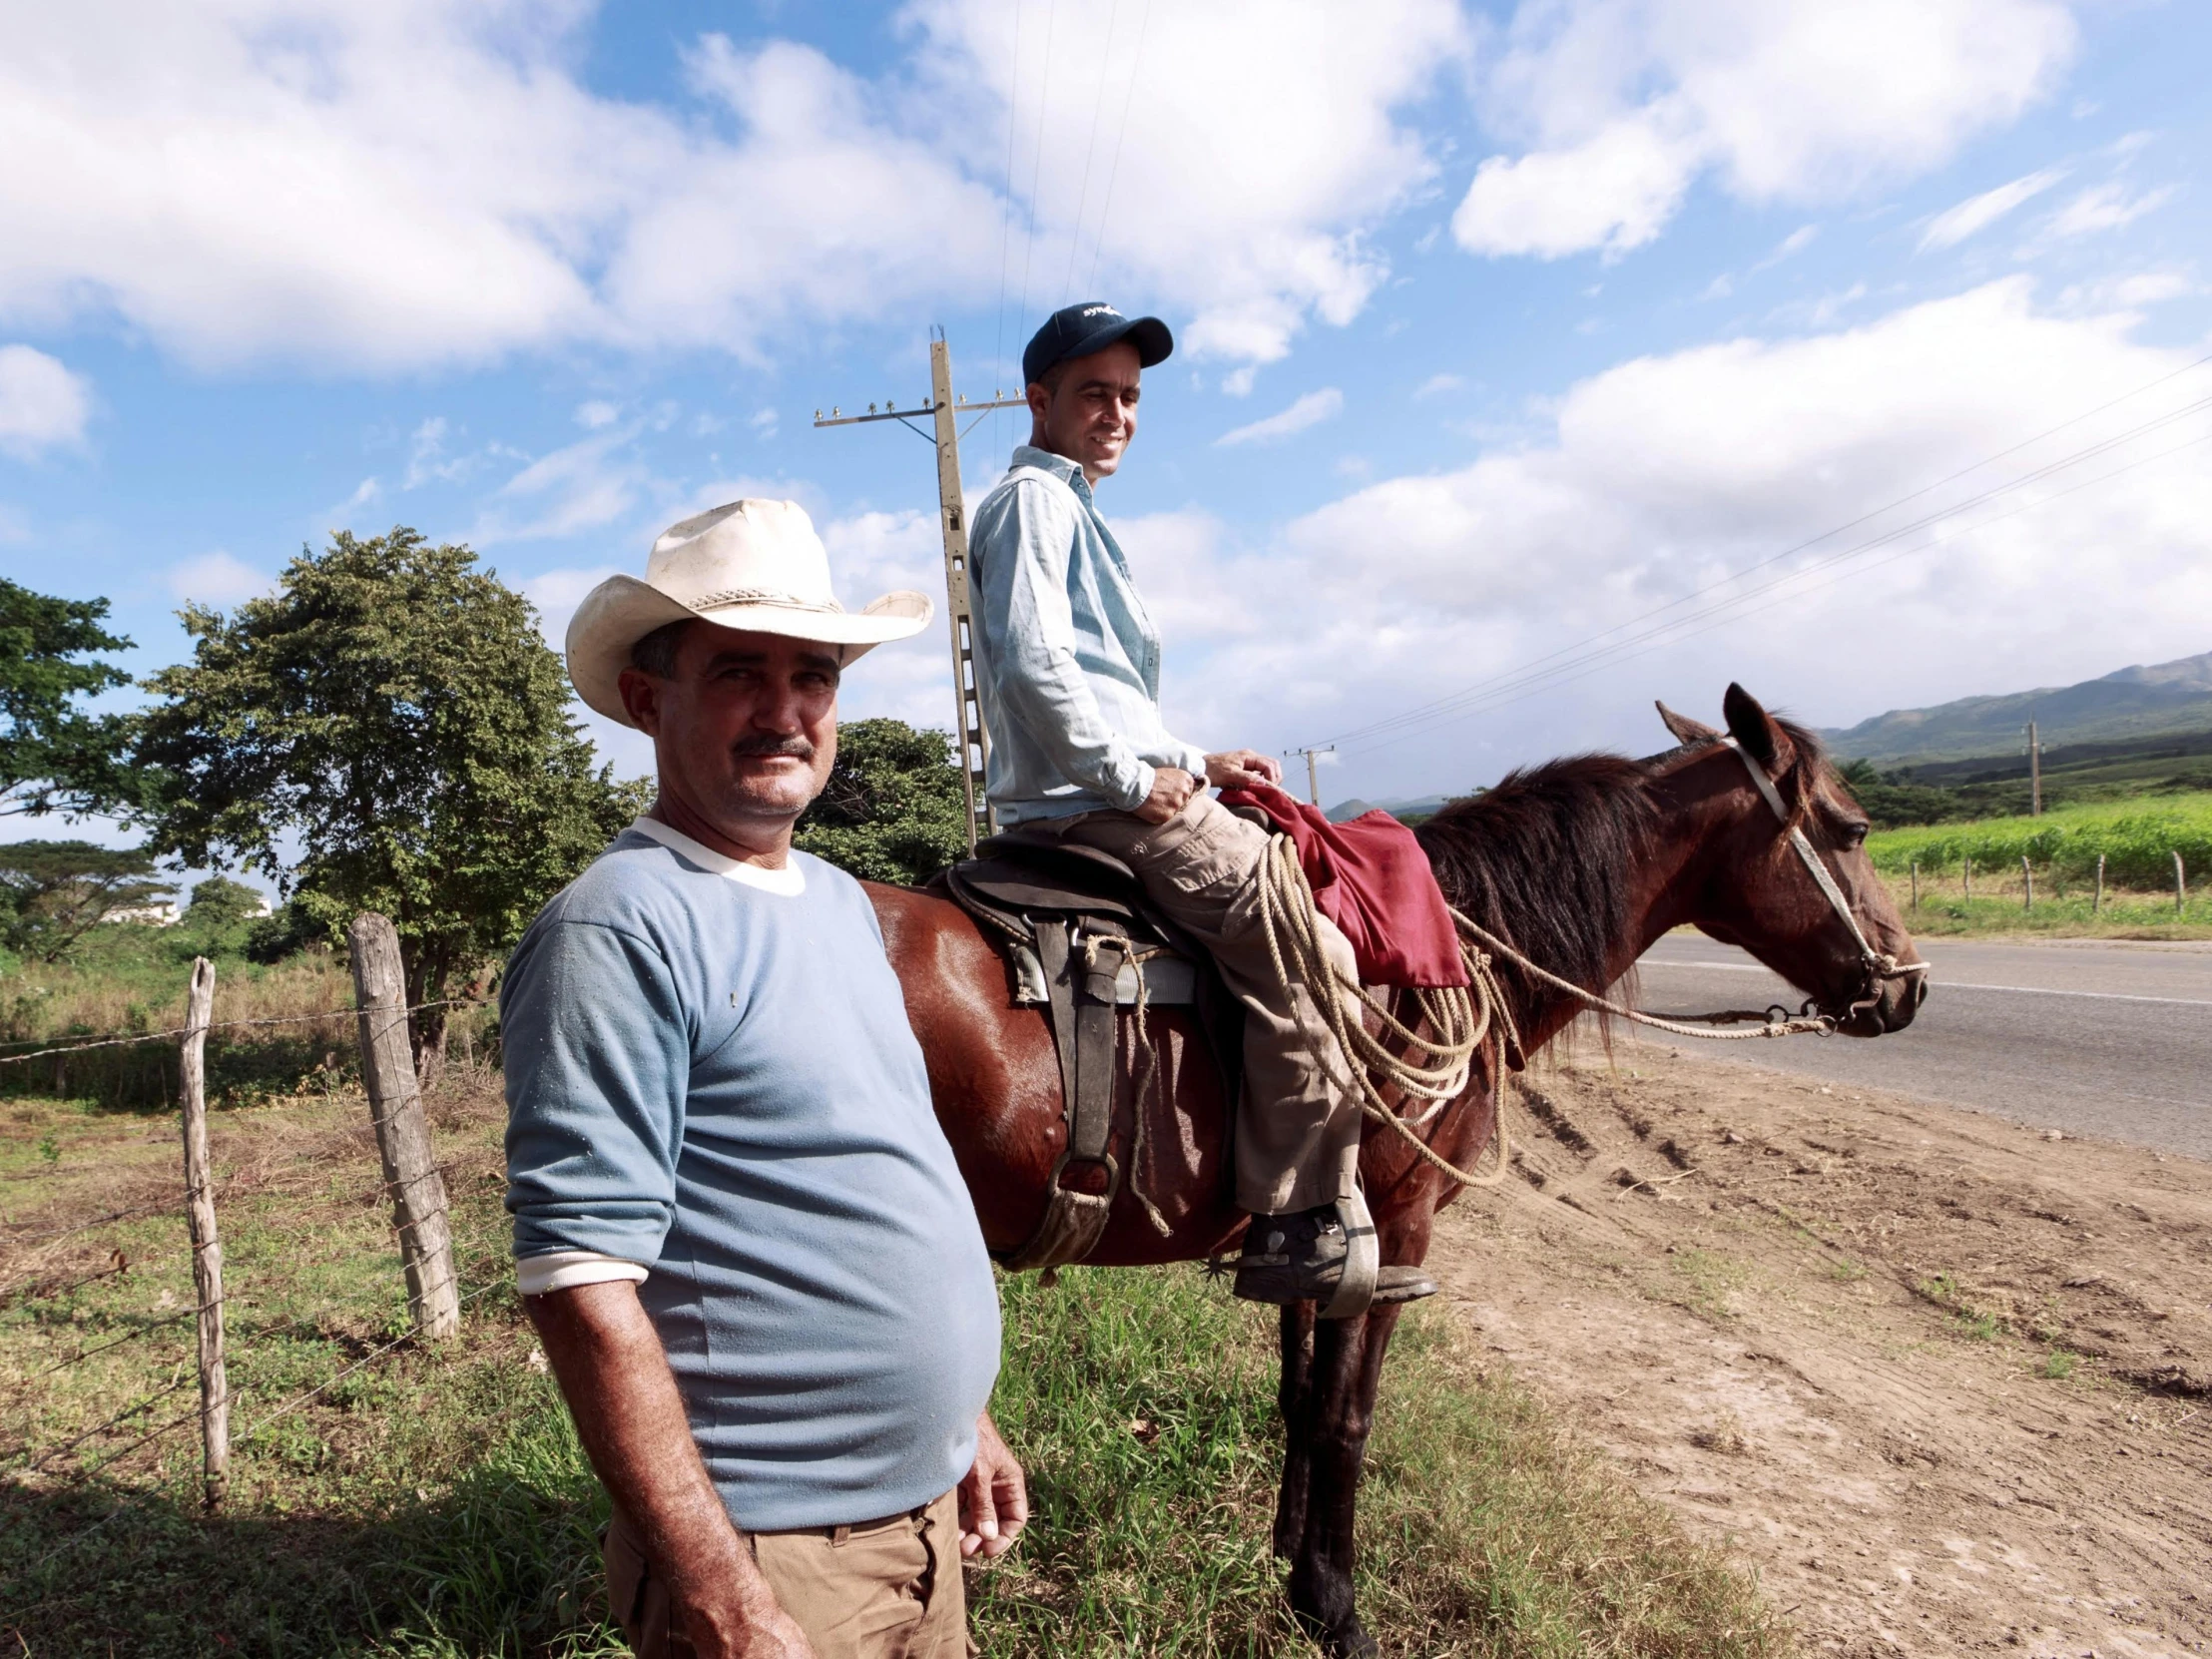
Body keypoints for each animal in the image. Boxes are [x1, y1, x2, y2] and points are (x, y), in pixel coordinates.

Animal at [862, 685, 1920, 1654]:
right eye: (1854, 829)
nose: (1906, 987)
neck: (1432, 963)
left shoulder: (1310, 1232)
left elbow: (1299, 1397)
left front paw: (1285, 1556)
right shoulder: (1397, 1228)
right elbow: (1346, 1418)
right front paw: (1332, 1607)